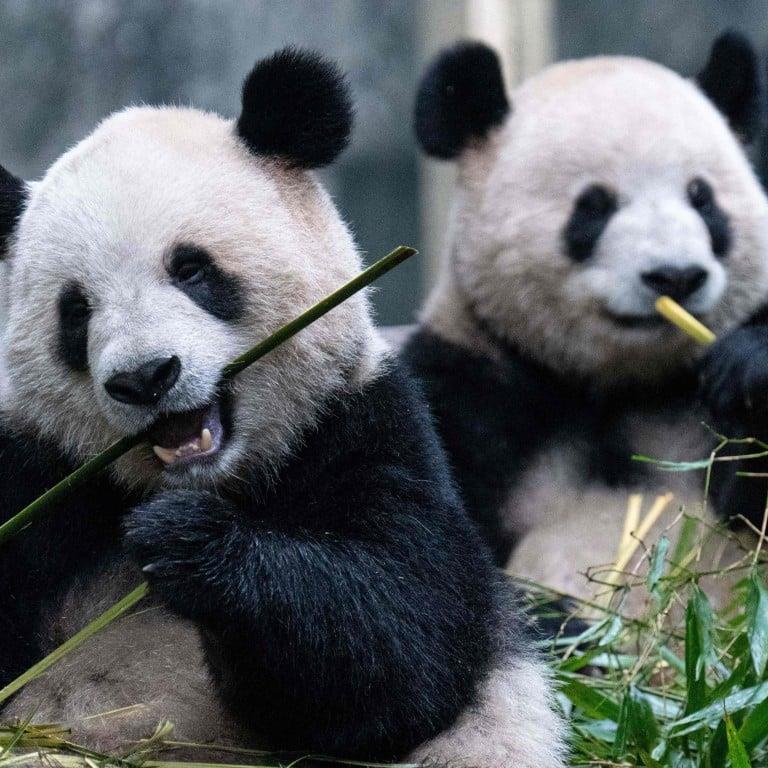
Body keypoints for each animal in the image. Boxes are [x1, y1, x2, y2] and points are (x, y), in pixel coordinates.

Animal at [0, 48, 566, 767]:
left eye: (191, 269)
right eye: (75, 310)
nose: (145, 378)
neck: (207, 481)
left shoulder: (361, 426)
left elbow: (404, 644)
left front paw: (189, 541)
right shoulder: (33, 468)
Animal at [402, 33, 768, 610]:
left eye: (703, 199)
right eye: (594, 206)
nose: (676, 276)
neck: (618, 385)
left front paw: (749, 369)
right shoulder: (464, 393)